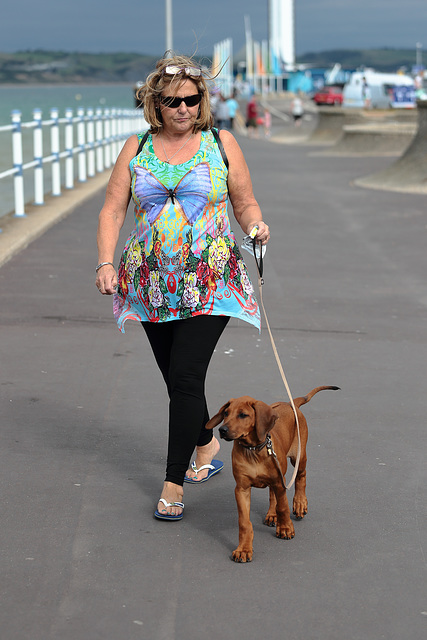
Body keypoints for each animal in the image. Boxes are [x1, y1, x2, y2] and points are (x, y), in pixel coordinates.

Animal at [206, 384, 340, 560]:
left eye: (243, 415)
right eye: (226, 413)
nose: (222, 430)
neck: (253, 450)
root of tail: (290, 403)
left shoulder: (279, 482)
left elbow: (283, 507)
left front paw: (285, 528)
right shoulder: (242, 488)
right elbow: (244, 521)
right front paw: (244, 548)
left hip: (299, 457)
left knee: (301, 477)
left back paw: (299, 503)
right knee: (272, 494)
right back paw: (272, 514)